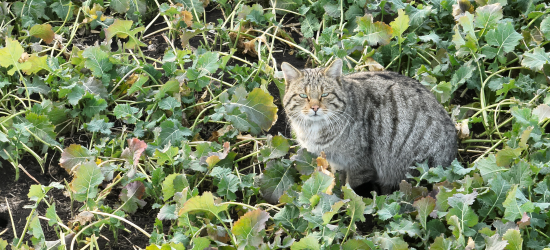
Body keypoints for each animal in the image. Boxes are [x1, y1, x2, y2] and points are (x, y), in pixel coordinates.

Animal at [282, 59, 460, 195]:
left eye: (325, 94)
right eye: (303, 95)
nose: (315, 107)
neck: (314, 129)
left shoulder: (359, 163)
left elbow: (350, 187)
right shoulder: (335, 161)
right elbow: (335, 177)